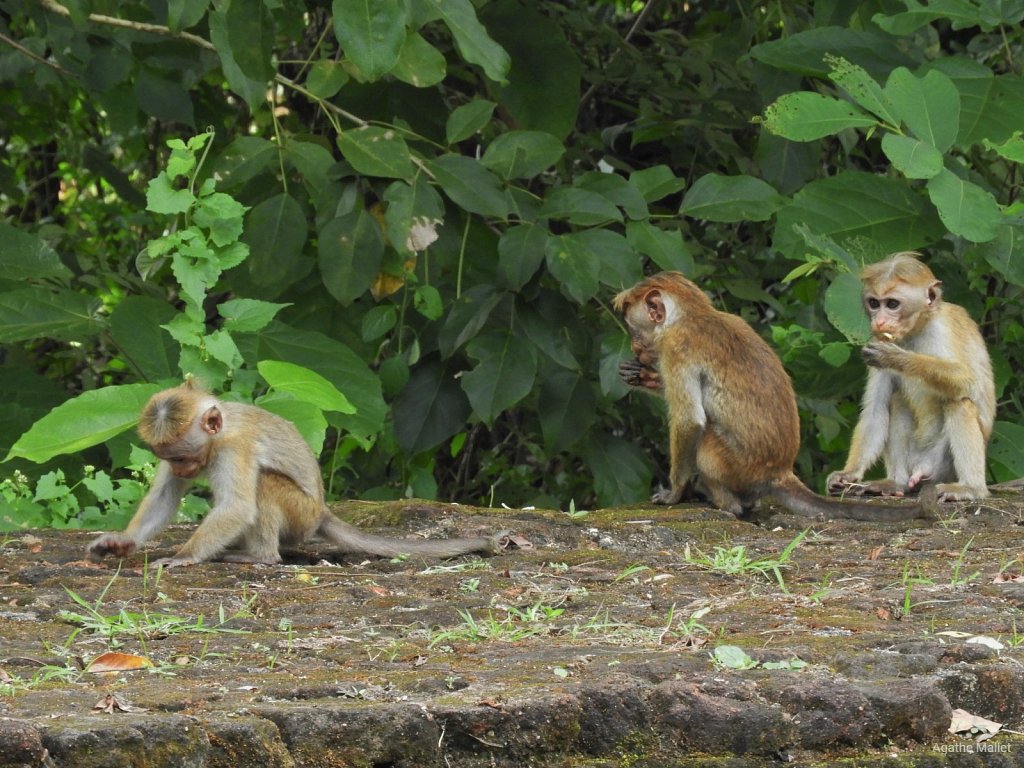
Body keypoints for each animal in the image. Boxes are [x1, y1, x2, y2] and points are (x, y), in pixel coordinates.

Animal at [88, 382, 507, 569]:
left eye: (182, 456)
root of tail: (321, 511)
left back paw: (260, 556)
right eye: (169, 458)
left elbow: (238, 507)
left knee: (265, 483)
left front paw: (185, 556)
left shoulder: (235, 448)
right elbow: (164, 498)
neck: (219, 434)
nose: (179, 468)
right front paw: (121, 542)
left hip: (300, 514)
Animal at [610, 270, 933, 524]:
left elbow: (690, 421)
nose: (636, 348)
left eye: (634, 331)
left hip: (735, 465)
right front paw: (643, 377)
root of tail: (781, 472)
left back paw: (724, 501)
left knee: (706, 442)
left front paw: (675, 493)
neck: (692, 314)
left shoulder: (675, 348)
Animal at [827, 252, 995, 505]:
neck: (916, 330)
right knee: (896, 402)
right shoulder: (877, 341)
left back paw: (971, 488)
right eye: (874, 303)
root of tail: (921, 468)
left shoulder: (941, 330)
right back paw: (896, 483)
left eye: (892, 304)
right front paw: (848, 473)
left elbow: (966, 380)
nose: (879, 321)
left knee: (960, 403)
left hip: (942, 465)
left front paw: (897, 357)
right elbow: (875, 411)